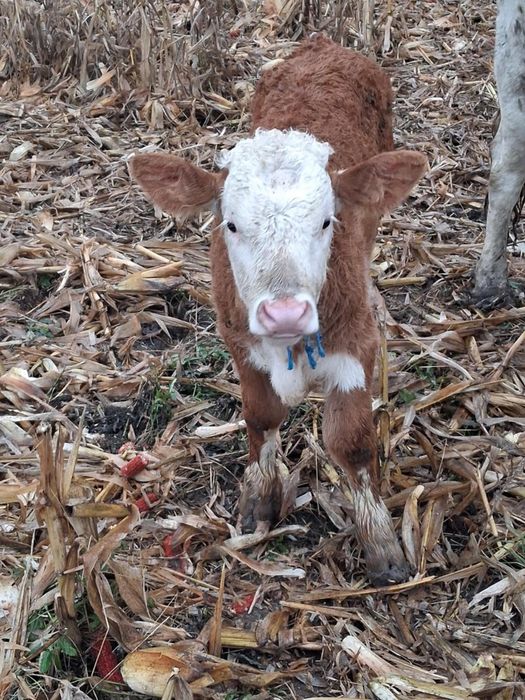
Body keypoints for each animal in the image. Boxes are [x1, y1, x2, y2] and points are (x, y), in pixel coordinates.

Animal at [130, 35, 427, 585]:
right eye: (230, 224)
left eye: (327, 221)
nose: (285, 314)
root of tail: (323, 45)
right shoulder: (239, 341)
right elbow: (261, 417)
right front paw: (258, 500)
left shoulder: (355, 346)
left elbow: (352, 442)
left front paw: (380, 544)